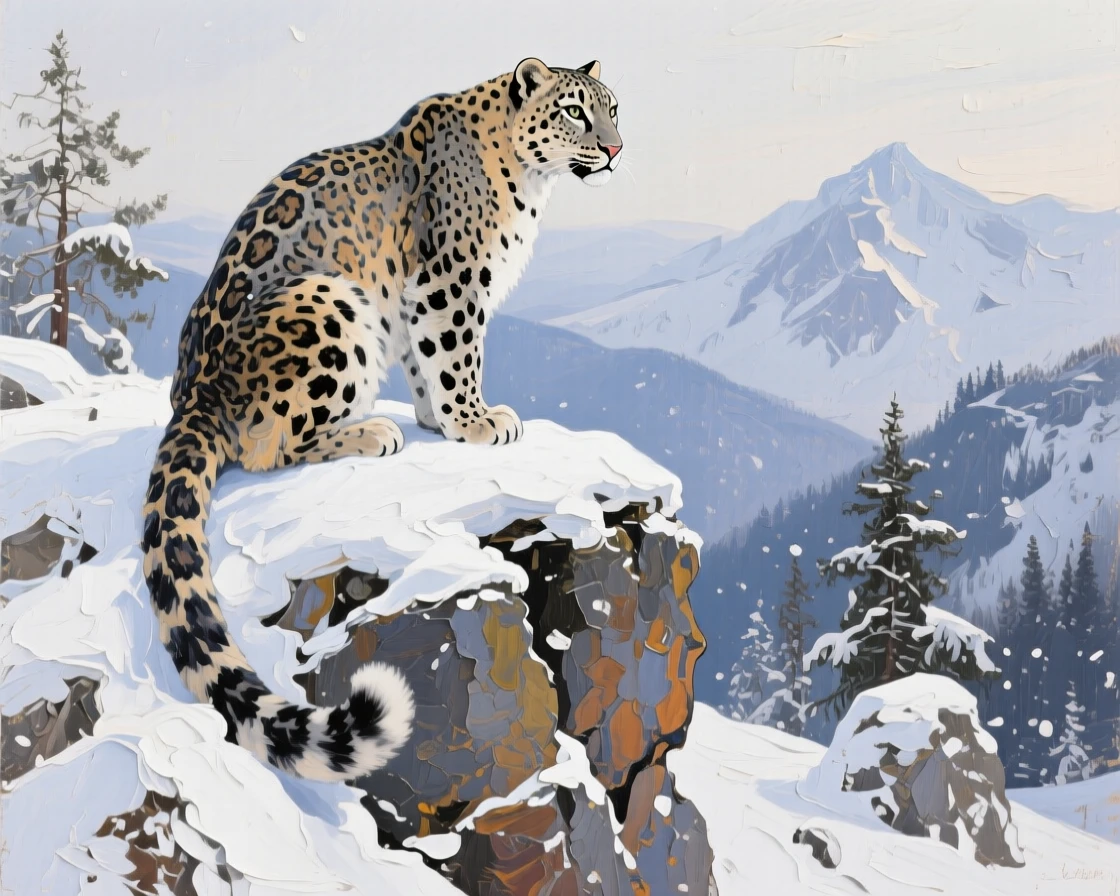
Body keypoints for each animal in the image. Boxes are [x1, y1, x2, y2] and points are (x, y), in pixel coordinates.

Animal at [141, 58, 622, 782]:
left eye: (612, 108)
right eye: (573, 111)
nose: (616, 149)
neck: (531, 183)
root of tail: (194, 392)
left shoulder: (423, 300)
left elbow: (427, 360)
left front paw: (439, 419)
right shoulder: (452, 281)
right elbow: (455, 351)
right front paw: (476, 422)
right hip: (331, 305)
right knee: (270, 446)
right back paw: (370, 432)